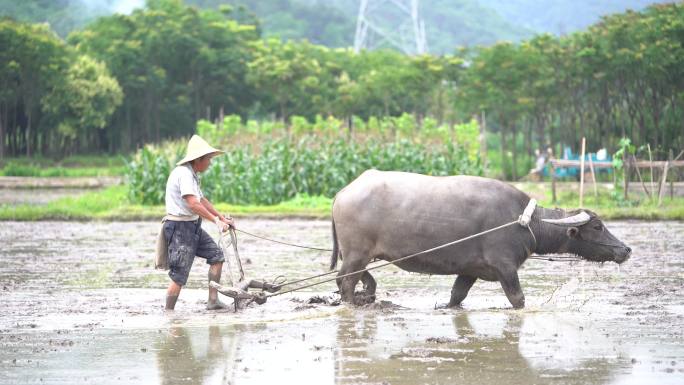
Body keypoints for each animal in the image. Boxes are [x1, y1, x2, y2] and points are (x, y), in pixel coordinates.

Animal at [330, 170, 632, 308]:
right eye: (597, 226)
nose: (625, 250)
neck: (526, 222)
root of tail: (343, 193)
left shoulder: (469, 270)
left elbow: (456, 296)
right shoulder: (505, 267)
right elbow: (518, 299)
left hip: (358, 256)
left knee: (348, 279)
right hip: (357, 254)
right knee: (346, 282)